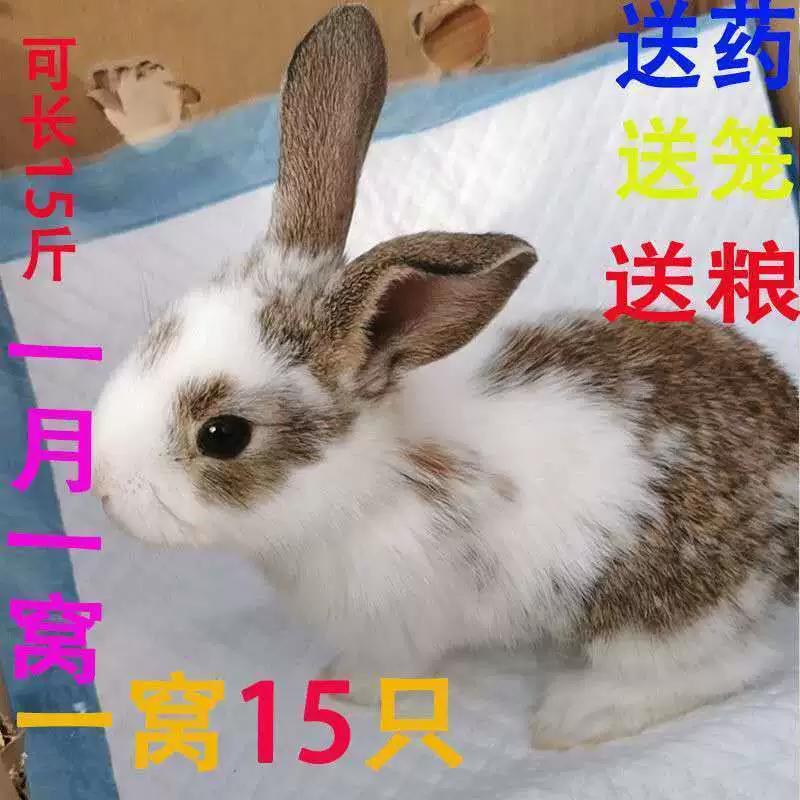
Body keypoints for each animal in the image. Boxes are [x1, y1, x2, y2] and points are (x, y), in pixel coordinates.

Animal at [92, 5, 798, 749]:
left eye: (223, 435)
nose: (105, 490)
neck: (370, 477)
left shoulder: (394, 628)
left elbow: (385, 671)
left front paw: (343, 686)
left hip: (655, 615)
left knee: (728, 666)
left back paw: (576, 716)